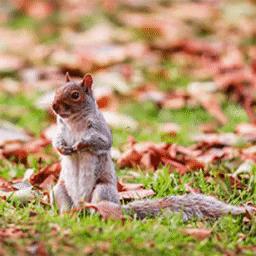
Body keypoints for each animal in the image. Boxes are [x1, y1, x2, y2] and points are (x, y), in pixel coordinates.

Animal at [50, 73, 252, 220]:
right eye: (56, 89)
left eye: (75, 95)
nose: (53, 106)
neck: (74, 121)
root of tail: (80, 206)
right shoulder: (61, 128)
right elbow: (57, 139)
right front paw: (62, 147)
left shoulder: (100, 129)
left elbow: (101, 142)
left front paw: (79, 144)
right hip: (58, 190)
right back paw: (66, 216)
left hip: (102, 191)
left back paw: (96, 216)